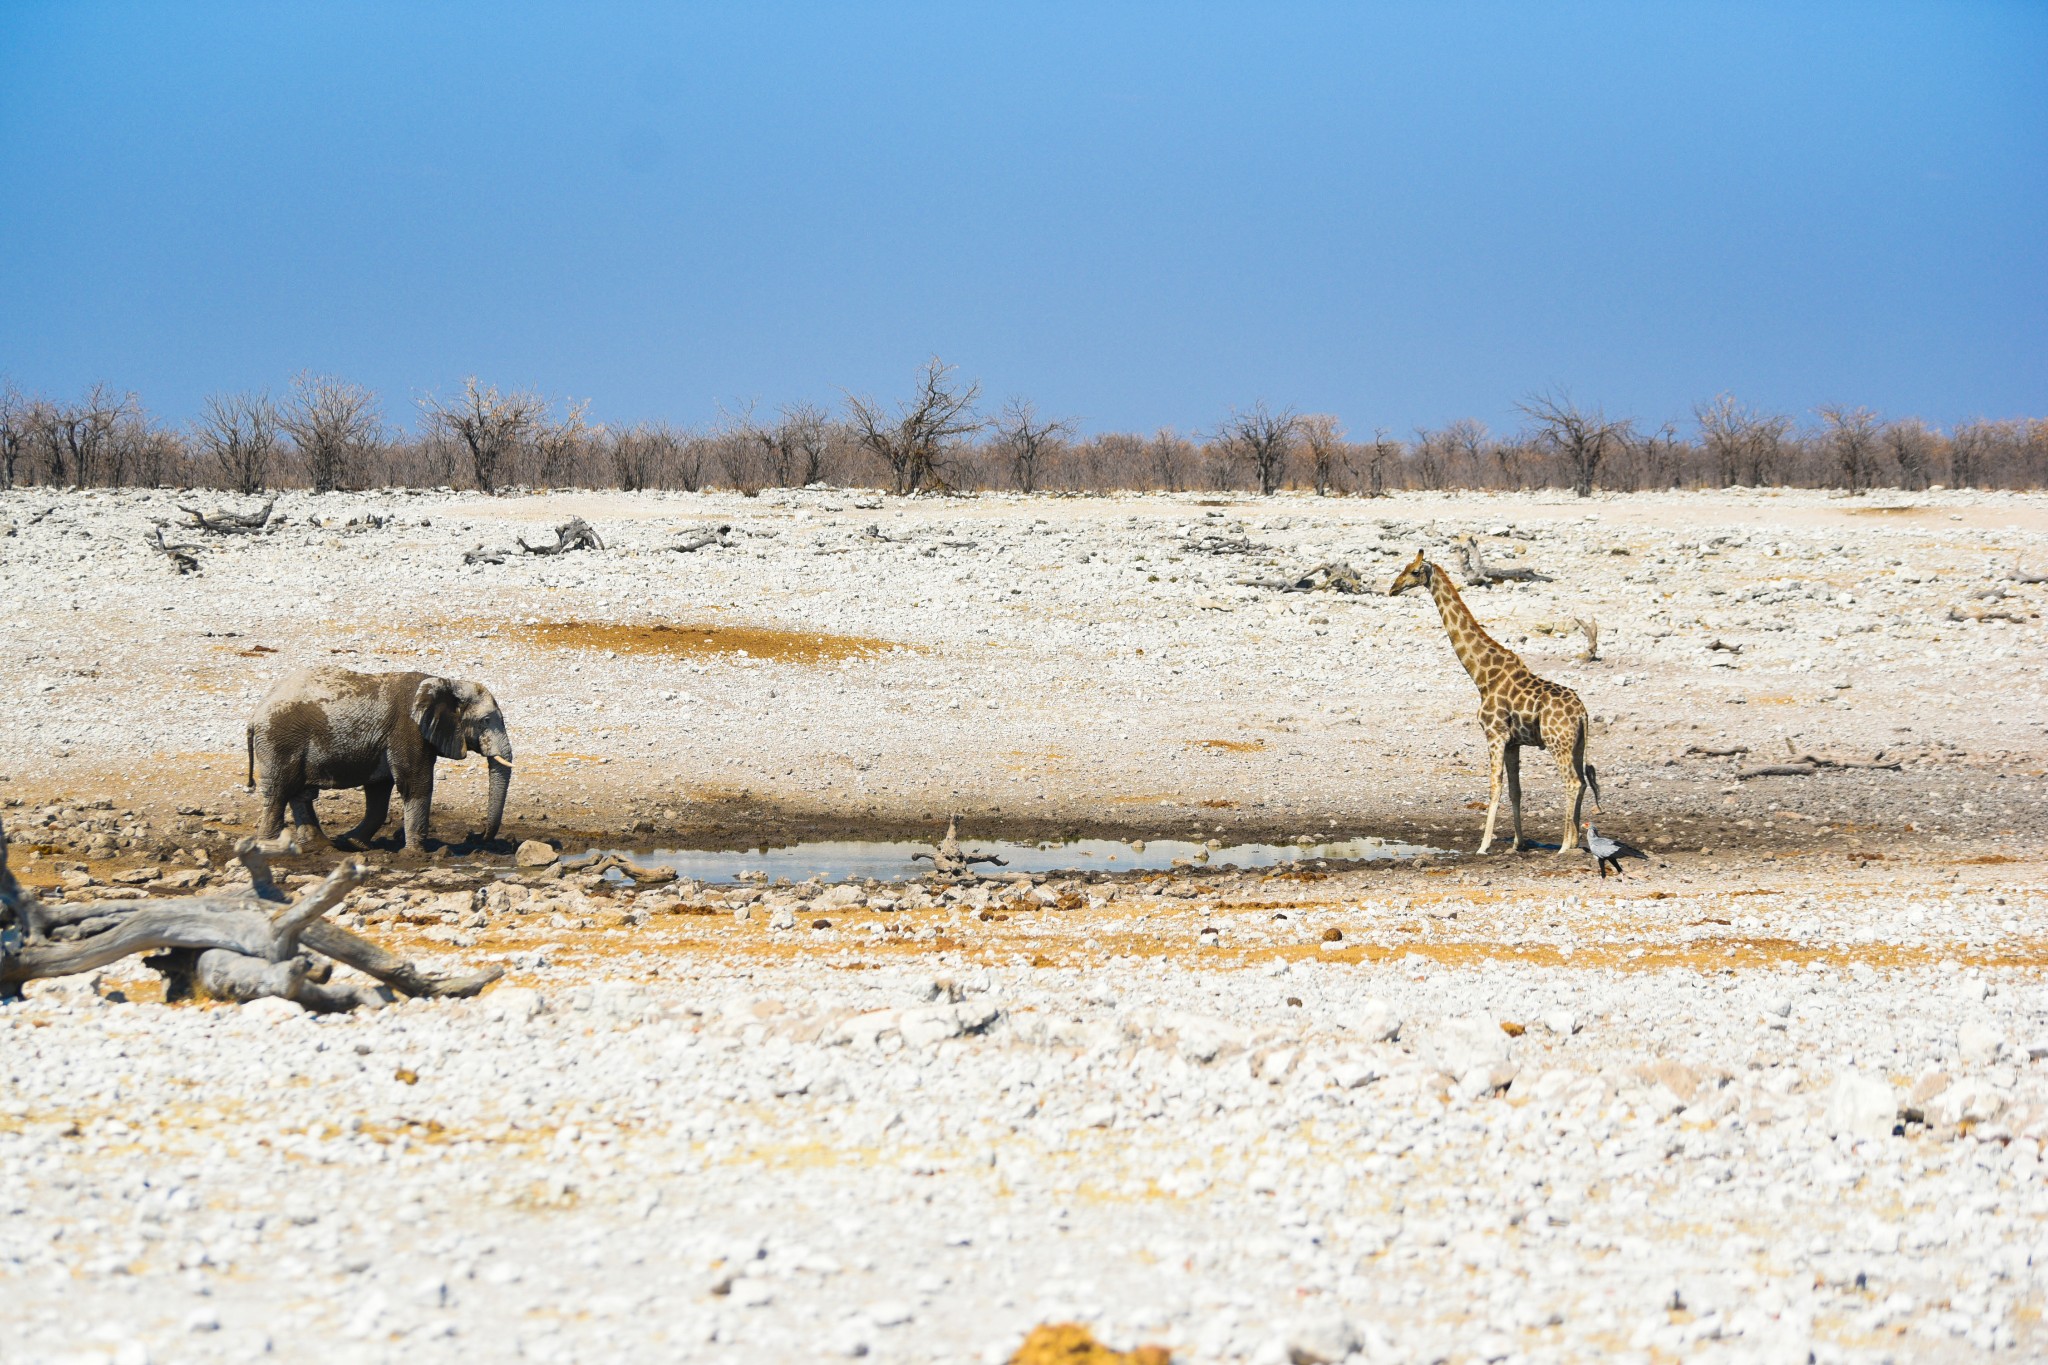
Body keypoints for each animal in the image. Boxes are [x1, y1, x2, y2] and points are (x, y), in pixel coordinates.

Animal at [244, 667, 512, 847]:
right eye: (485, 721)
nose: (475, 836)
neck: (448, 682)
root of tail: (255, 714)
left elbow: (379, 790)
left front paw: (353, 843)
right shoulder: (408, 730)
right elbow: (415, 784)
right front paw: (415, 853)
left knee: (300, 793)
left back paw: (322, 846)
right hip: (279, 741)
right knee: (279, 793)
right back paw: (271, 847)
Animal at [1392, 548, 1597, 855]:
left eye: (1415, 572)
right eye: (1404, 568)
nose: (1392, 588)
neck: (1481, 675)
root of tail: (1582, 713)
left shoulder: (1495, 734)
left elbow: (1494, 785)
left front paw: (1483, 845)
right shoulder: (1513, 742)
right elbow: (1515, 790)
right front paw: (1517, 844)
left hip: (1556, 742)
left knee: (1572, 782)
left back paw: (1564, 846)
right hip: (1577, 743)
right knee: (1583, 782)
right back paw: (1572, 841)